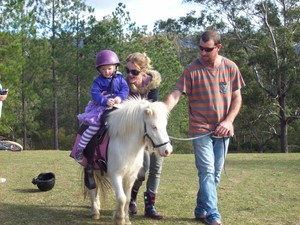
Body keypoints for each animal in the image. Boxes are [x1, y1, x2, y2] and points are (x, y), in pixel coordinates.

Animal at [84, 96, 173, 225]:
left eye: (165, 125)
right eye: (154, 126)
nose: (167, 150)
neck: (126, 145)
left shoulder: (130, 176)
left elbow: (127, 198)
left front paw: (125, 219)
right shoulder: (115, 175)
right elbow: (122, 198)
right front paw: (120, 219)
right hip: (89, 168)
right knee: (92, 188)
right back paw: (95, 211)